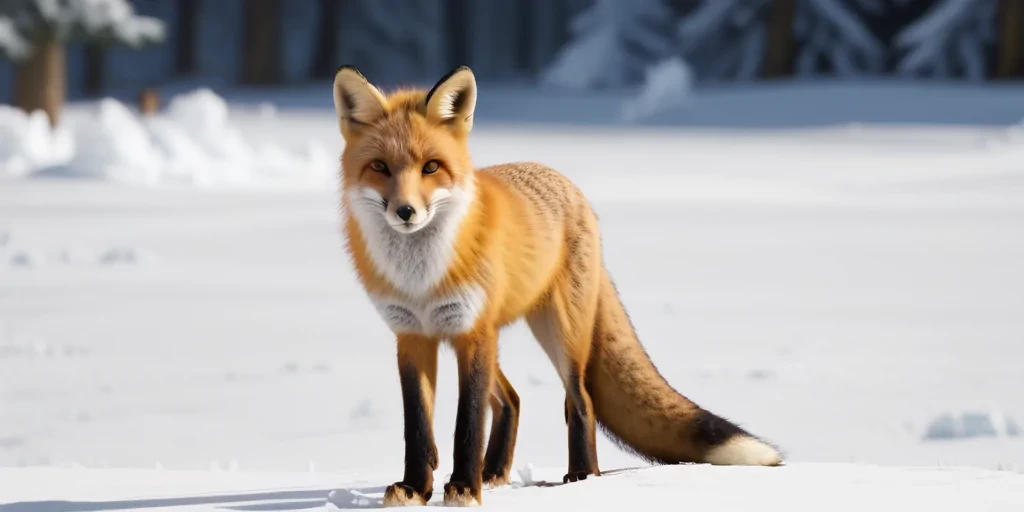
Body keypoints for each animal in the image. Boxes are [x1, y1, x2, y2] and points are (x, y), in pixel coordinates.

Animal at [332, 65, 783, 507]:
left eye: (430, 167)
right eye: (380, 167)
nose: (406, 211)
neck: (421, 278)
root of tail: (568, 184)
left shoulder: (470, 333)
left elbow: (468, 423)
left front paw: (463, 488)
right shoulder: (412, 336)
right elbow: (417, 426)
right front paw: (415, 488)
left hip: (557, 330)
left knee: (579, 399)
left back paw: (581, 477)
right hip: (496, 338)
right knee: (512, 399)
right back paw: (494, 473)